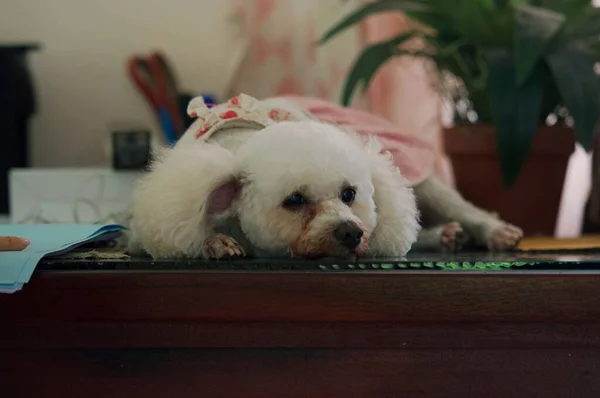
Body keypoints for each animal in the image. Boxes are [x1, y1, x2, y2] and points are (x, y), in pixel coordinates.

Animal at [130, 95, 520, 260]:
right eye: (294, 200)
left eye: (349, 193)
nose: (351, 231)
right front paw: (215, 242)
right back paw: (446, 235)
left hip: (420, 177)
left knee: (455, 207)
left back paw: (491, 231)